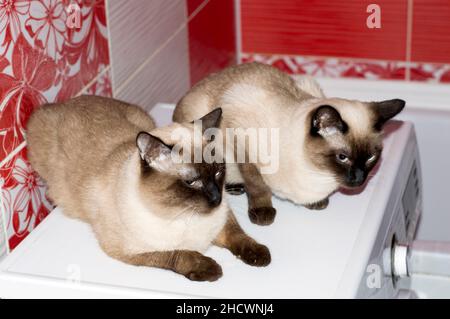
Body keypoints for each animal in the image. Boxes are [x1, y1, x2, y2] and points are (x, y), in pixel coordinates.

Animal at [27, 95, 270, 282]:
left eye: (219, 173)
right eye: (191, 182)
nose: (216, 198)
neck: (183, 214)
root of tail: (65, 102)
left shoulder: (223, 220)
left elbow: (239, 236)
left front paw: (259, 255)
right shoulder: (133, 251)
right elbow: (179, 254)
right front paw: (209, 269)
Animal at [174, 62, 406, 226]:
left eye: (371, 157)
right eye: (343, 157)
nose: (359, 180)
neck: (318, 175)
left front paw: (316, 204)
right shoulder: (240, 139)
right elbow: (257, 185)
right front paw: (263, 213)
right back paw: (235, 188)